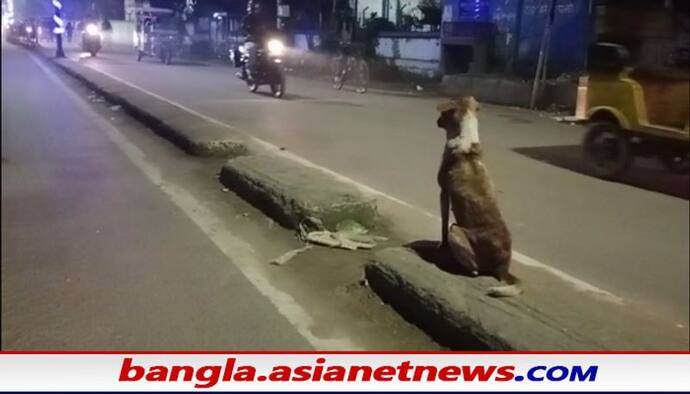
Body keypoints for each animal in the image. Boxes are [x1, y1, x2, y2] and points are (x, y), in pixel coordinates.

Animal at [436, 97, 520, 298]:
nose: (436, 121)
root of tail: (503, 267)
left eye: (442, 113)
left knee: (475, 271)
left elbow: (443, 225)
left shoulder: (443, 193)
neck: (465, 136)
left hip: (457, 230)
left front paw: (442, 246)